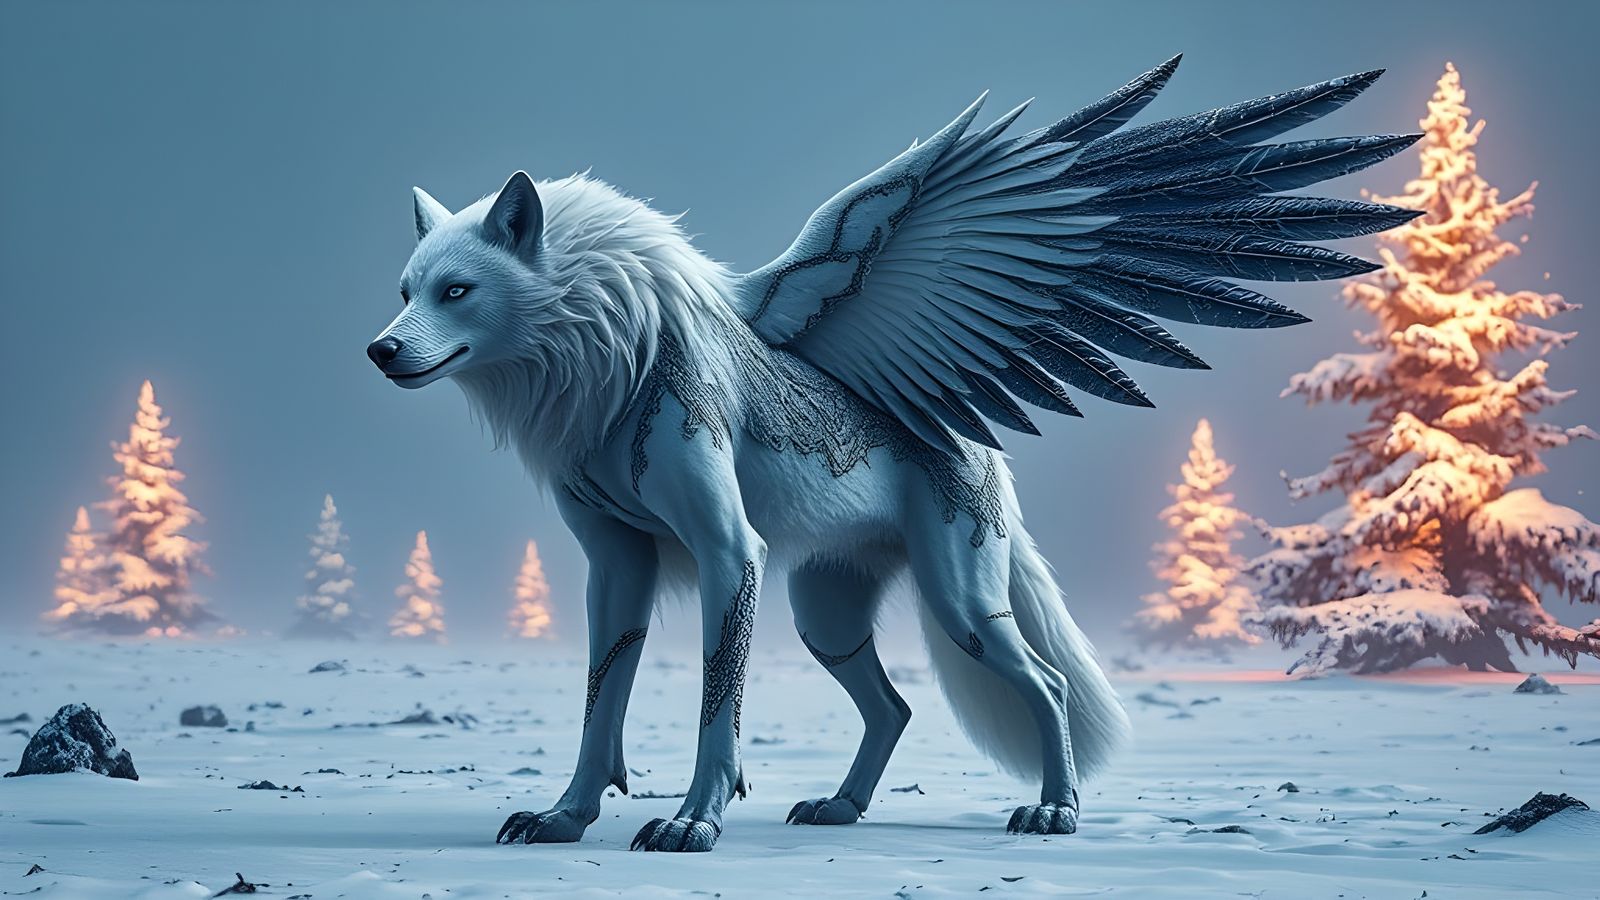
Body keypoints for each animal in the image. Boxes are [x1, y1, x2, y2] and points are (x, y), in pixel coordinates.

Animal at [367, 56, 1418, 852]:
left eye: (457, 291)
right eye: (409, 290)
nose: (380, 351)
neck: (611, 362)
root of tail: (978, 442)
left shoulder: (729, 555)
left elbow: (716, 713)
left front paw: (693, 825)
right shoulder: (616, 570)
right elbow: (599, 711)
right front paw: (565, 819)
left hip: (959, 608)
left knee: (1043, 685)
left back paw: (1055, 812)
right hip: (823, 615)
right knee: (895, 709)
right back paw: (842, 807)